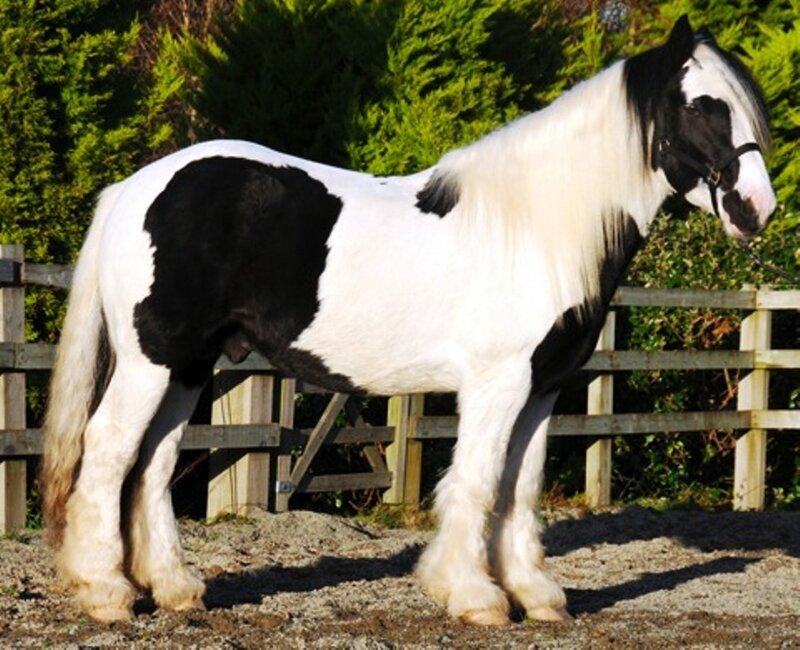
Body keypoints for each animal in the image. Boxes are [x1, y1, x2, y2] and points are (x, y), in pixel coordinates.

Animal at [41, 15, 775, 626]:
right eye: (701, 106)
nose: (757, 209)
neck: (536, 227)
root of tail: (134, 188)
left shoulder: (542, 389)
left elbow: (519, 489)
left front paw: (535, 596)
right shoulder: (498, 384)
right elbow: (476, 482)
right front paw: (475, 597)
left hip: (190, 367)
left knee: (153, 464)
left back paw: (175, 590)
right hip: (150, 362)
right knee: (108, 452)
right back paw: (105, 594)